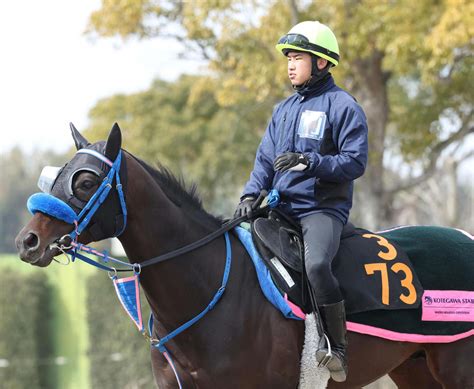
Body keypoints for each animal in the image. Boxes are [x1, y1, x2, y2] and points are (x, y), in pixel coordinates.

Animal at [15, 125, 474, 388]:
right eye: (55, 175)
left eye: (85, 181)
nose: (28, 241)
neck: (207, 290)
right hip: (415, 368)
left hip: (457, 366)